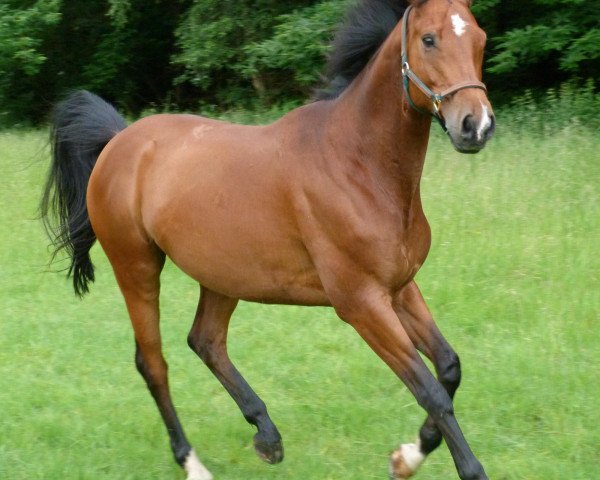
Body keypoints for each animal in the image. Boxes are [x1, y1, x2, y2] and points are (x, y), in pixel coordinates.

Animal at [39, 1, 494, 478]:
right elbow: (430, 390)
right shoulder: (361, 303)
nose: (476, 125)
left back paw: (267, 436)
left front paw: (406, 456)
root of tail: (118, 142)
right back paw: (192, 461)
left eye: (480, 38)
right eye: (429, 39)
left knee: (206, 341)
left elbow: (449, 368)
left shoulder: (400, 288)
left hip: (222, 277)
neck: (358, 164)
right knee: (154, 362)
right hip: (137, 267)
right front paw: (462, 468)